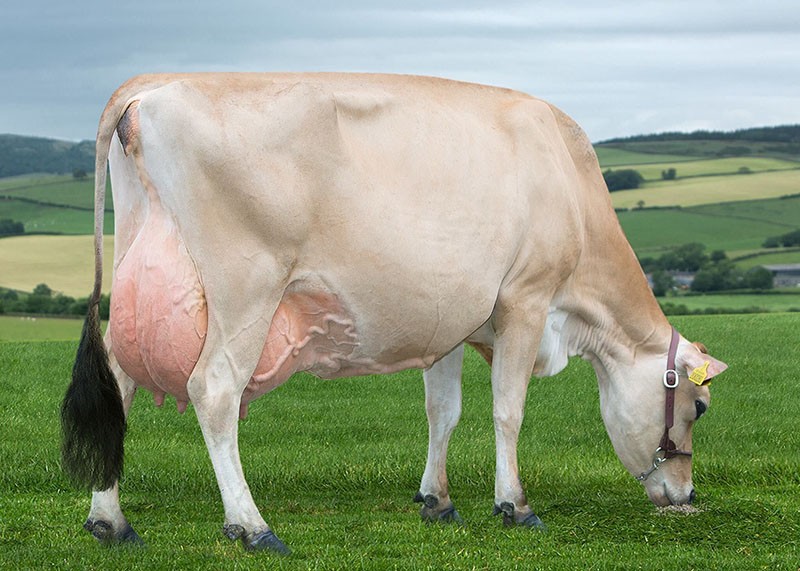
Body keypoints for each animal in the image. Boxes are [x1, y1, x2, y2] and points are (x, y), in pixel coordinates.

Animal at [61, 73, 724, 556]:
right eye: (699, 406)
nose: (685, 494)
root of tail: (153, 85)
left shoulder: (452, 320)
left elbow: (443, 412)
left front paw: (438, 500)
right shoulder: (526, 300)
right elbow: (507, 411)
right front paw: (515, 505)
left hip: (143, 275)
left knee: (118, 383)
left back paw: (110, 521)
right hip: (245, 288)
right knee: (215, 390)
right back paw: (252, 525)